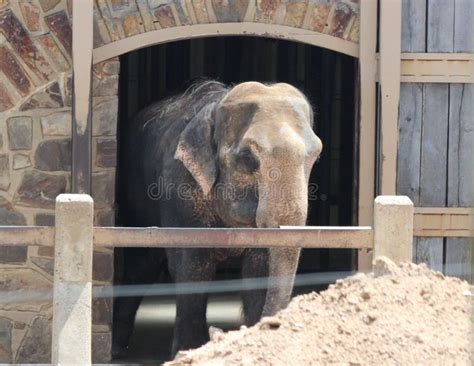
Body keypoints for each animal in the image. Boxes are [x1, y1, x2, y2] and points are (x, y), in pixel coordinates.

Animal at [114, 80, 322, 358]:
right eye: (247, 158)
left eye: (315, 156)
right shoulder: (179, 187)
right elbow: (193, 266)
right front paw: (187, 351)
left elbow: (259, 267)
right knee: (141, 267)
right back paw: (117, 350)